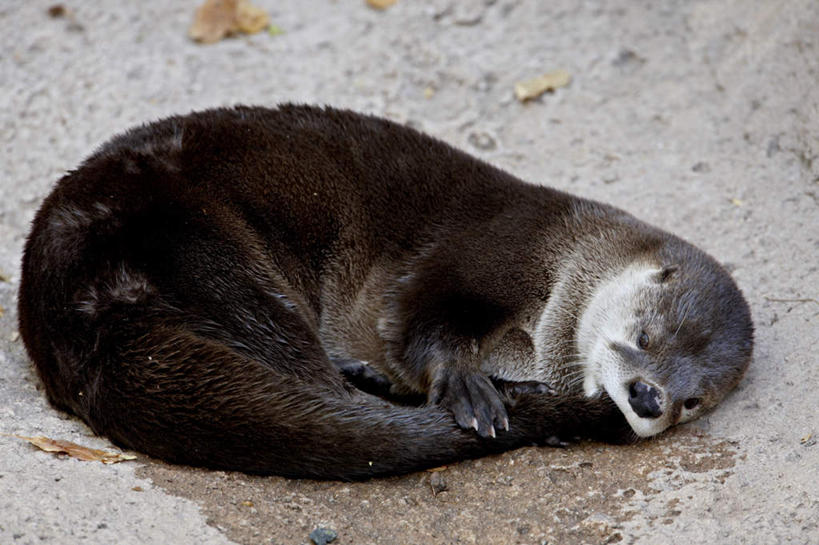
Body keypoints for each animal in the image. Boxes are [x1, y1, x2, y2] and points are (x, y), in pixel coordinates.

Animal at [16, 104, 756, 478]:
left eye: (692, 400)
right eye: (643, 335)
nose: (647, 398)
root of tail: (70, 311)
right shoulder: (486, 248)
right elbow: (418, 315)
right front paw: (464, 383)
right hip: (216, 256)